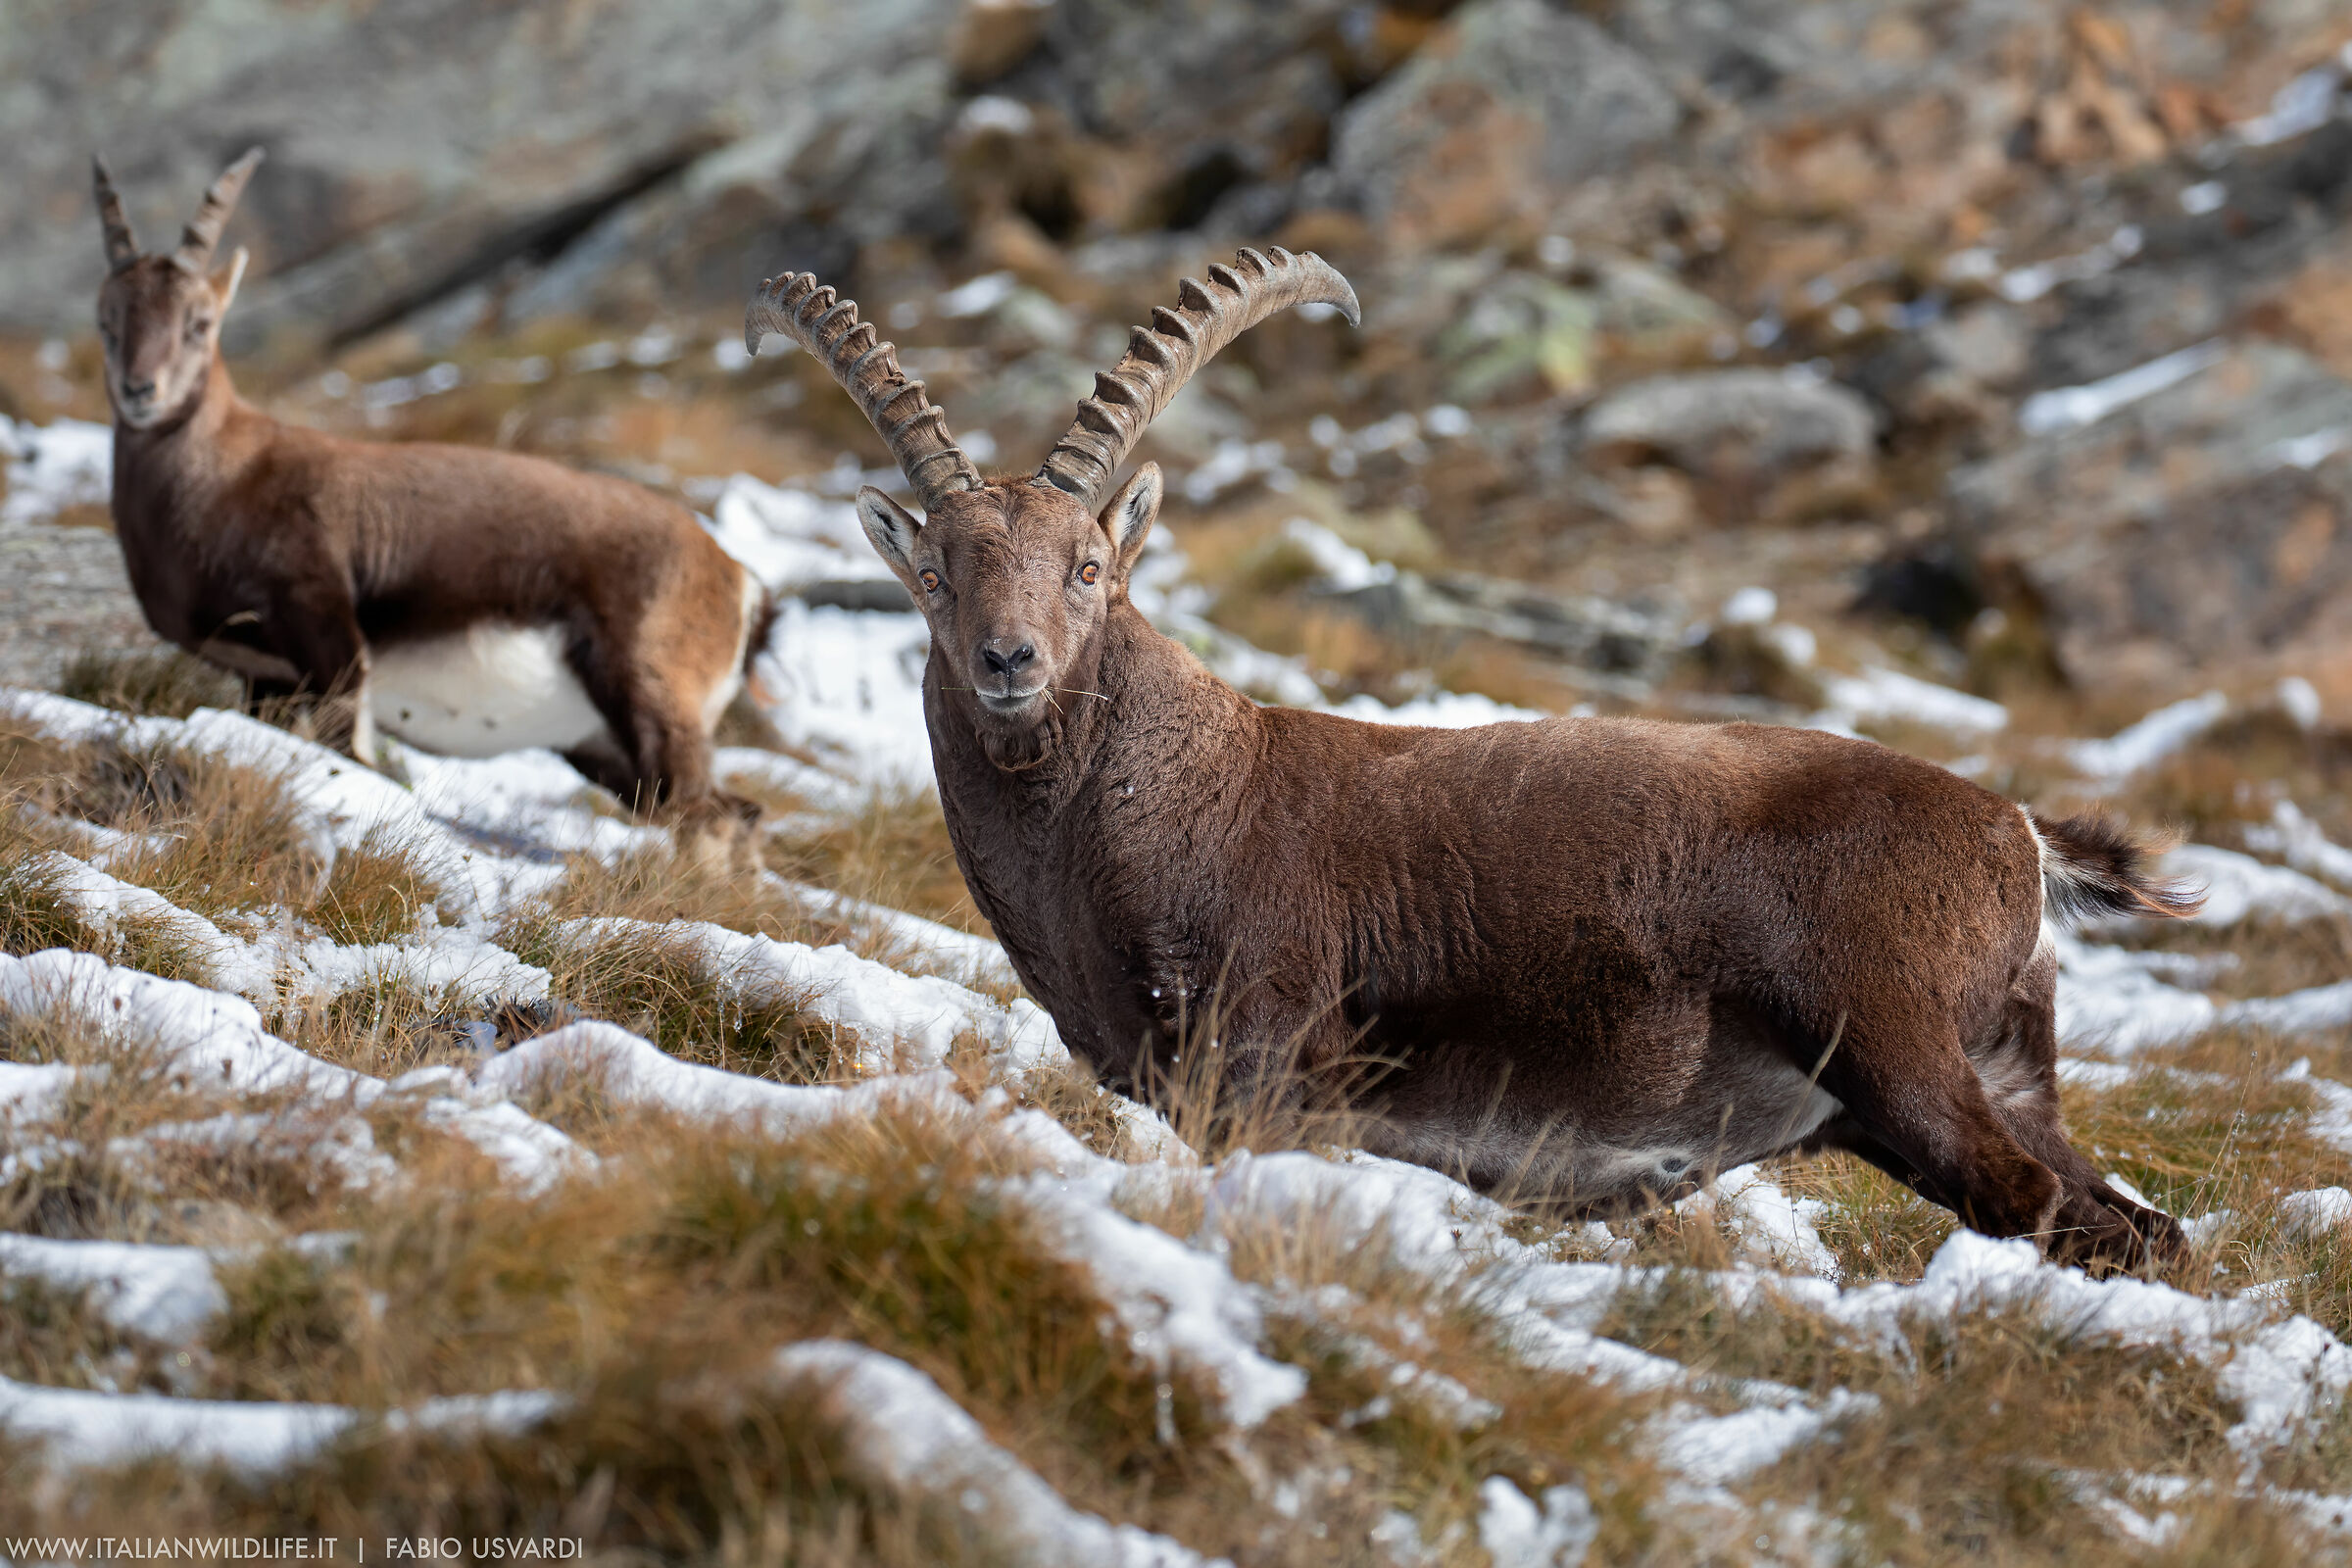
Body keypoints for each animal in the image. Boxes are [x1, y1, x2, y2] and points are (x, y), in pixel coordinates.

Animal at [91, 149, 768, 829]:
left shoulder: (329, 635)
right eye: (107, 321)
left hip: (652, 701)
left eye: (199, 322)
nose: (140, 391)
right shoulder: (266, 681)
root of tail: (737, 577)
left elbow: (353, 748)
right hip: (605, 749)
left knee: (709, 814)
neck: (224, 476)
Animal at [746, 249, 2202, 1270]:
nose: (1009, 662)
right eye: (937, 573)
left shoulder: (1268, 1066)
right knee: (2128, 1223)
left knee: (2034, 1203)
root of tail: (2017, 834)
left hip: (1893, 1044)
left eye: (1090, 568)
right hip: (2004, 1070)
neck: (1161, 794)